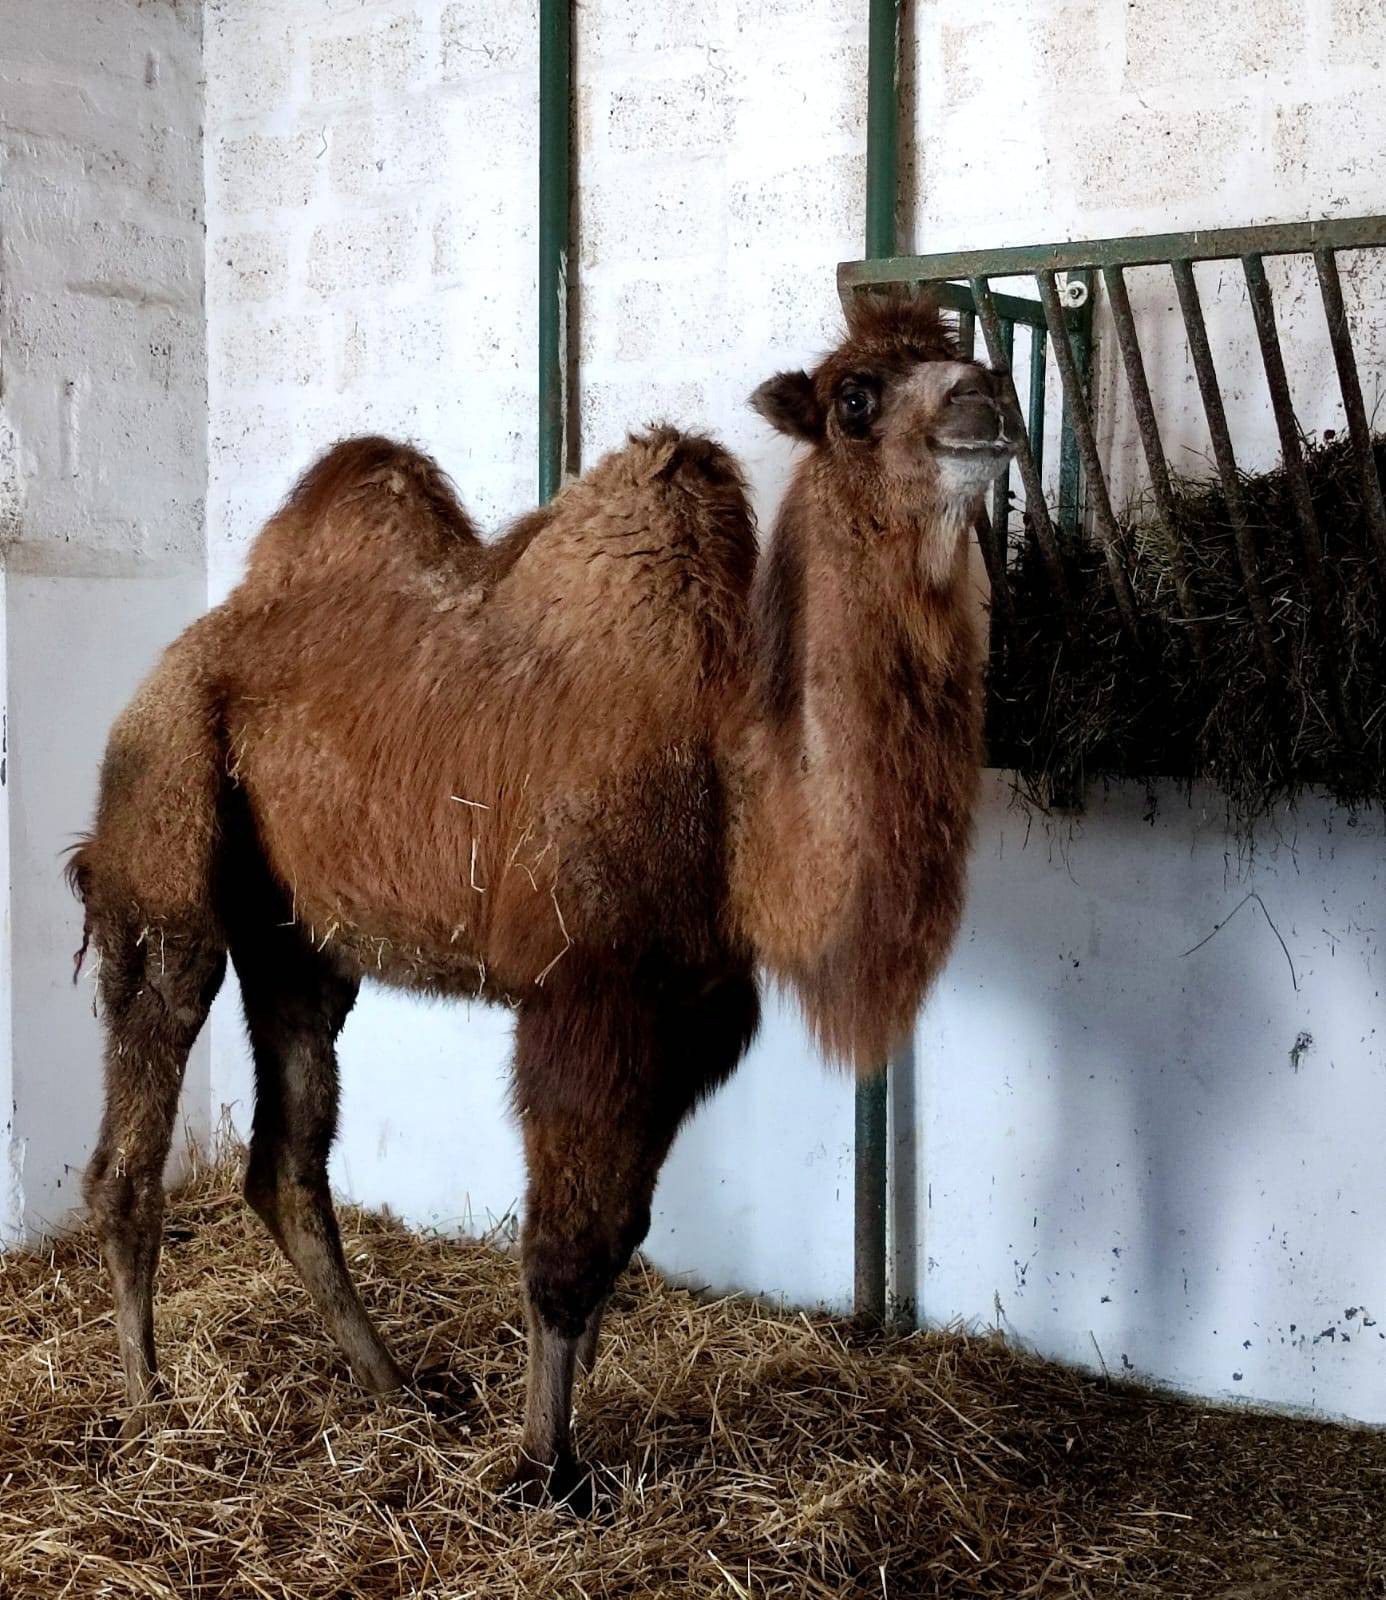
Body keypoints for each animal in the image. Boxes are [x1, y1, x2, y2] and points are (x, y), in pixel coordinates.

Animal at [67, 294, 1005, 1504]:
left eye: (962, 350)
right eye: (855, 396)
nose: (987, 403)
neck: (734, 772)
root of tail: (180, 653)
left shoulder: (690, 1008)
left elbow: (622, 1226)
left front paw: (560, 1409)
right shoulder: (588, 992)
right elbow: (563, 1248)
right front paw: (545, 1465)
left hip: (302, 941)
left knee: (288, 1159)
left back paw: (394, 1385)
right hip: (165, 826)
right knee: (135, 1126)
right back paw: (151, 1407)